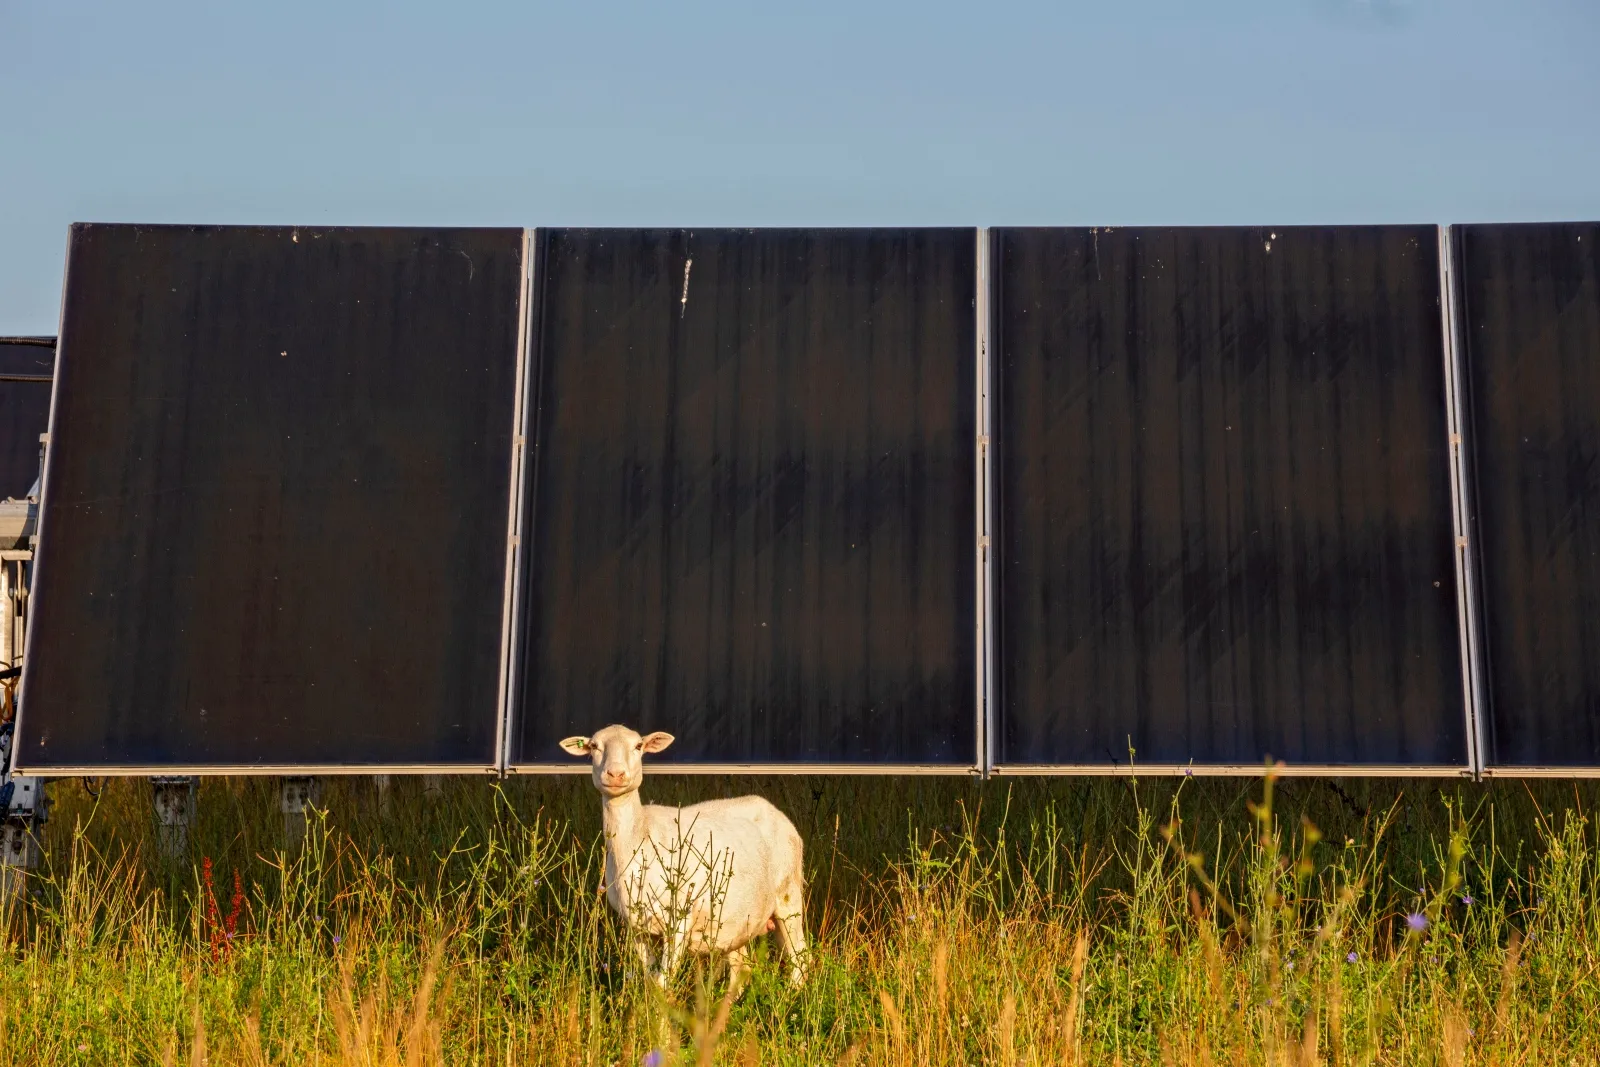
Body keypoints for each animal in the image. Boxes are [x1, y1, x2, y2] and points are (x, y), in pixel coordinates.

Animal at [560, 725, 809, 995]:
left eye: (638, 746)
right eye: (594, 746)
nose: (615, 774)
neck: (640, 837)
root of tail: (776, 812)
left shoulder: (678, 921)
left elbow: (663, 983)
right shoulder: (636, 927)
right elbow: (651, 982)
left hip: (788, 894)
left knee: (800, 958)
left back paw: (790, 998)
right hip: (735, 921)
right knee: (742, 969)